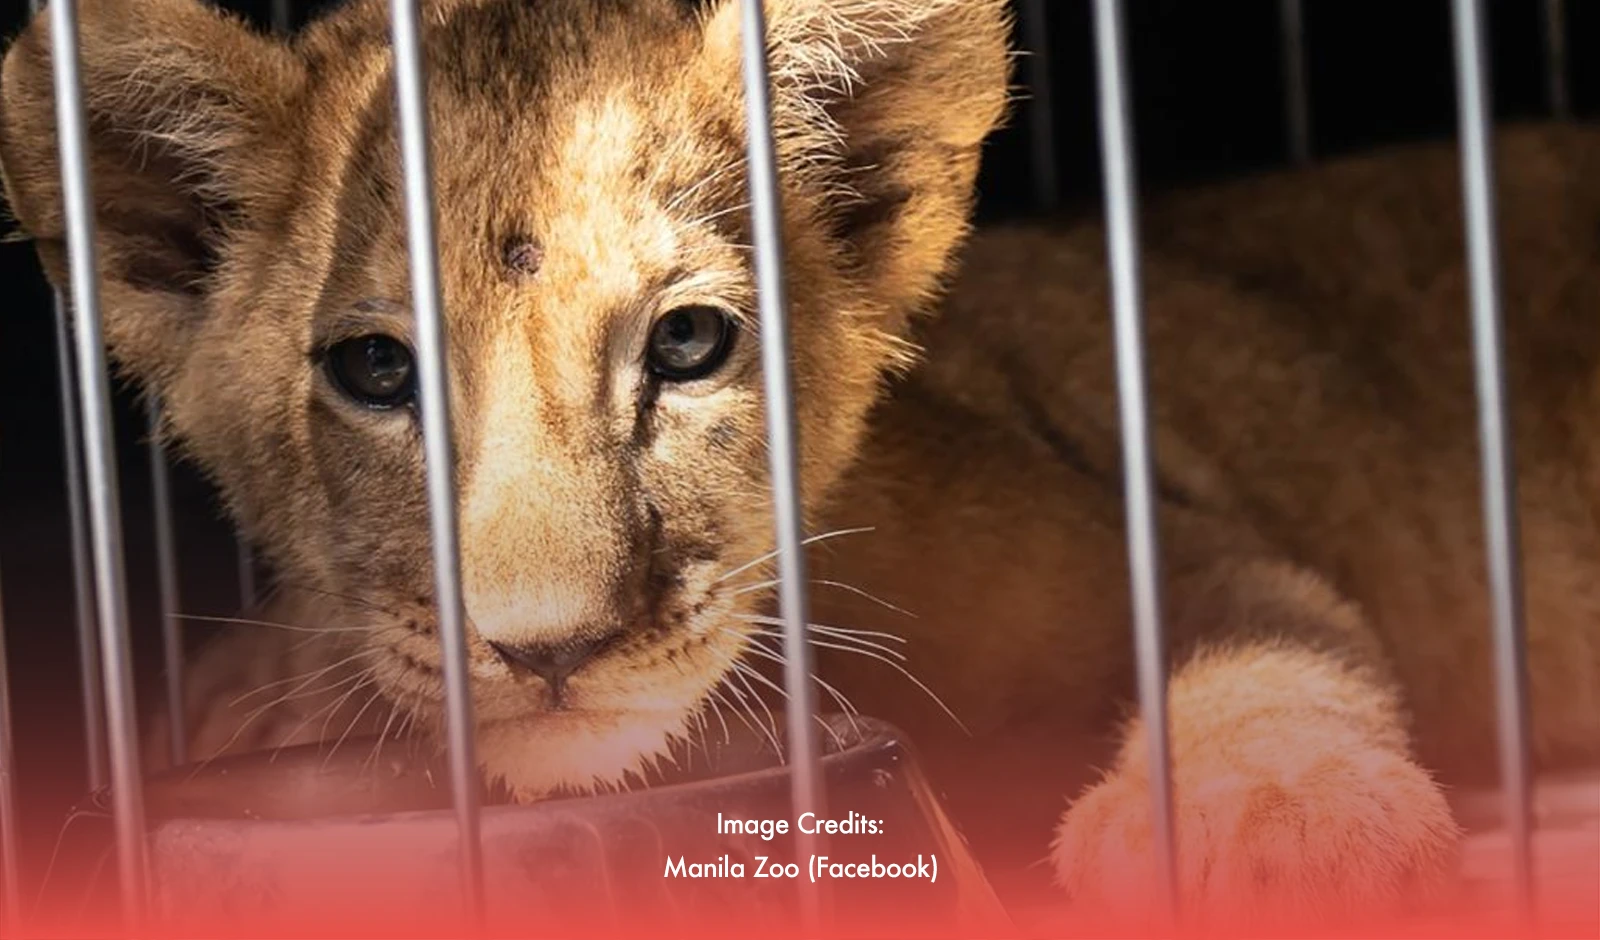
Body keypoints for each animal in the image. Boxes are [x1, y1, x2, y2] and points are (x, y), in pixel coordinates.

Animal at [1, 0, 1597, 929]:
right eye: (375, 372)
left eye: (691, 344)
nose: (548, 649)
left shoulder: (1163, 524)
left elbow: (1268, 650)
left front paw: (1282, 830)